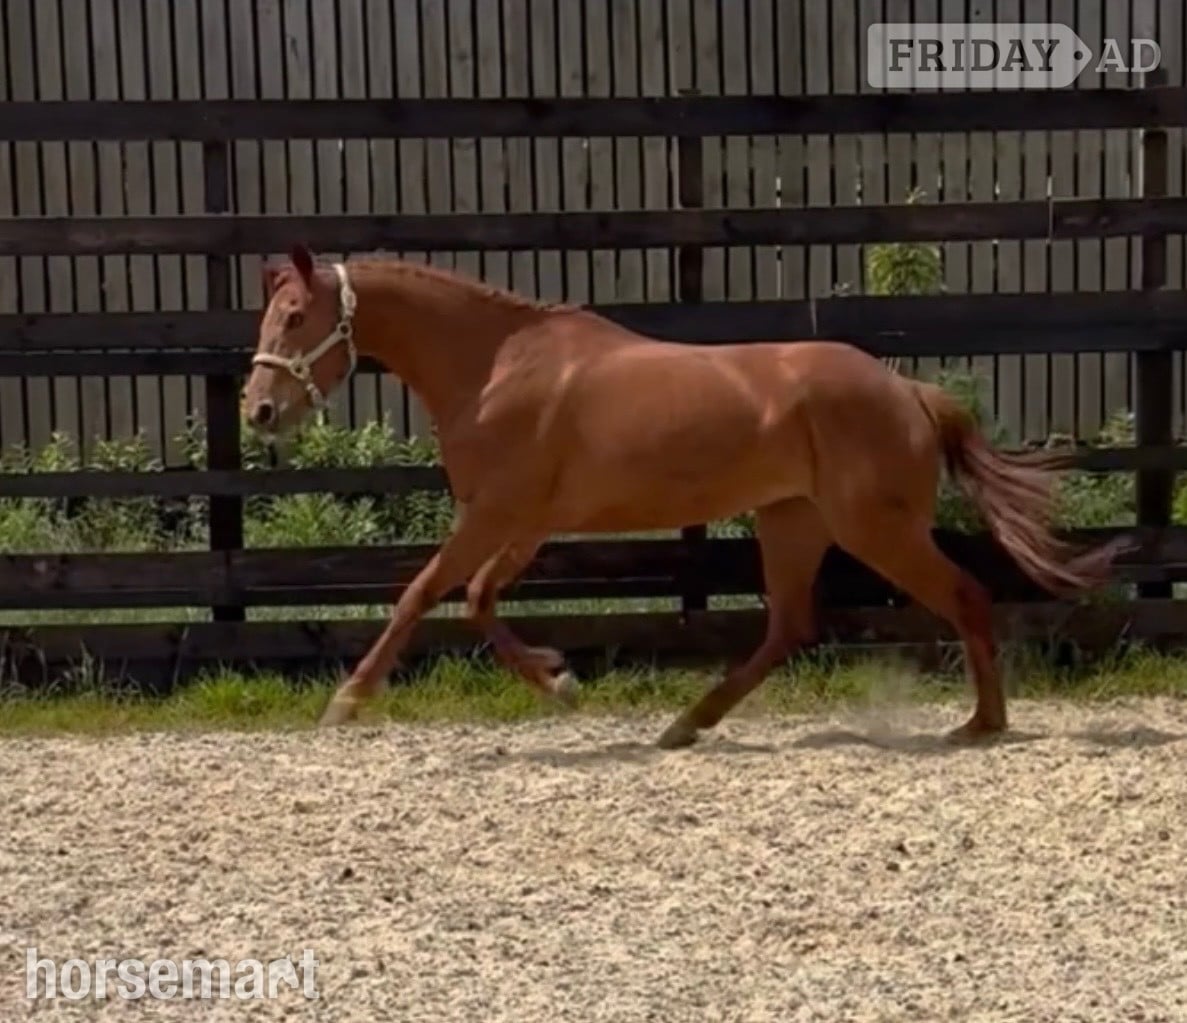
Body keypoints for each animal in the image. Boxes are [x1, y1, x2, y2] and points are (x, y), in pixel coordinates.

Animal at [241, 244, 1124, 749]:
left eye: (294, 315)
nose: (258, 410)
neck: (495, 365)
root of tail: (907, 390)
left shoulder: (491, 515)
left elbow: (421, 595)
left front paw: (346, 701)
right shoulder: (524, 522)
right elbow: (481, 601)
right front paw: (560, 680)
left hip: (874, 528)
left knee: (963, 596)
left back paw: (982, 724)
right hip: (792, 521)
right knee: (789, 625)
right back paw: (684, 724)